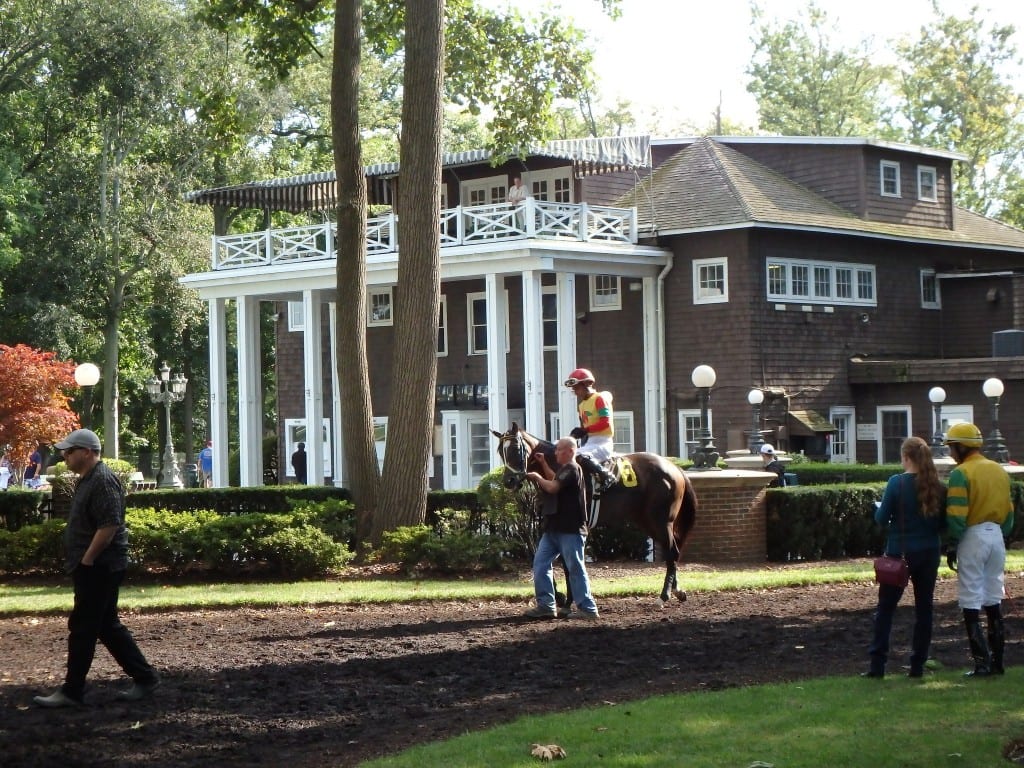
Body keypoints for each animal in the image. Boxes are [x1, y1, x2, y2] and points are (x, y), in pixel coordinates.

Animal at [491, 421, 700, 606]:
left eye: (516, 449)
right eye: (500, 451)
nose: (509, 481)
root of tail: (675, 467)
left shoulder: (571, 526)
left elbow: (568, 563)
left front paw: (568, 599)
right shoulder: (550, 524)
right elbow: (543, 560)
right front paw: (561, 597)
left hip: (661, 520)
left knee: (672, 551)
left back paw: (664, 596)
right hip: (647, 520)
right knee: (672, 550)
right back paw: (677, 590)